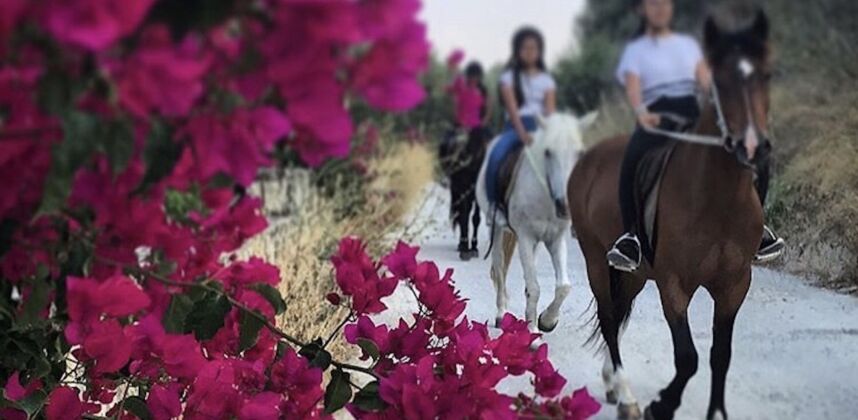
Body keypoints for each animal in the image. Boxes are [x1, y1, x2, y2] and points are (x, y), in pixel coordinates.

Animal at [439, 126, 492, 260]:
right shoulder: (463, 189)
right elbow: (464, 216)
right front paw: (465, 249)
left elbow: (475, 218)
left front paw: (473, 247)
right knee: (462, 214)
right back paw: (462, 244)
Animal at [476, 111, 597, 333]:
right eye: (548, 152)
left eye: (579, 152)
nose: (565, 205)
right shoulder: (525, 237)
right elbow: (534, 287)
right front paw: (532, 331)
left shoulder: (555, 239)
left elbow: (563, 287)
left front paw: (547, 321)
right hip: (495, 228)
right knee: (499, 266)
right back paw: (501, 314)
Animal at [568, 10, 773, 420]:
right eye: (720, 80)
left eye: (765, 75)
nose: (752, 148)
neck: (718, 199)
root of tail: (587, 160)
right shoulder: (673, 282)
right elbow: (688, 357)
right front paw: (661, 404)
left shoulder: (735, 284)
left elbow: (720, 355)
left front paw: (715, 413)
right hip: (595, 257)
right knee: (610, 320)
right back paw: (628, 398)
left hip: (633, 274)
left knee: (619, 311)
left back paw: (614, 385)